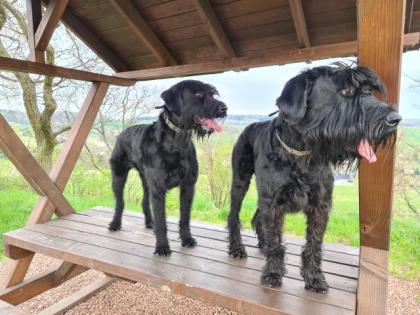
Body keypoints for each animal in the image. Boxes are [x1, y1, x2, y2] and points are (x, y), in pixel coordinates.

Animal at [108, 79, 226, 256]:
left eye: (212, 94)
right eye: (198, 93)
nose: (224, 108)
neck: (178, 139)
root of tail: (122, 133)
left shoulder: (188, 186)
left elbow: (185, 216)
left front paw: (187, 239)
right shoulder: (158, 187)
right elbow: (161, 219)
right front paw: (162, 247)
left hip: (146, 181)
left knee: (145, 201)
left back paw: (150, 223)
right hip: (119, 176)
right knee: (119, 202)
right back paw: (115, 224)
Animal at [228, 64, 402, 294]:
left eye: (368, 91)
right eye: (346, 91)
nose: (395, 119)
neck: (301, 154)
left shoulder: (319, 204)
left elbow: (314, 243)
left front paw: (314, 278)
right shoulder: (272, 202)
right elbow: (276, 240)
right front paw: (273, 273)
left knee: (257, 217)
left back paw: (262, 245)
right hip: (240, 180)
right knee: (233, 214)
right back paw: (236, 247)